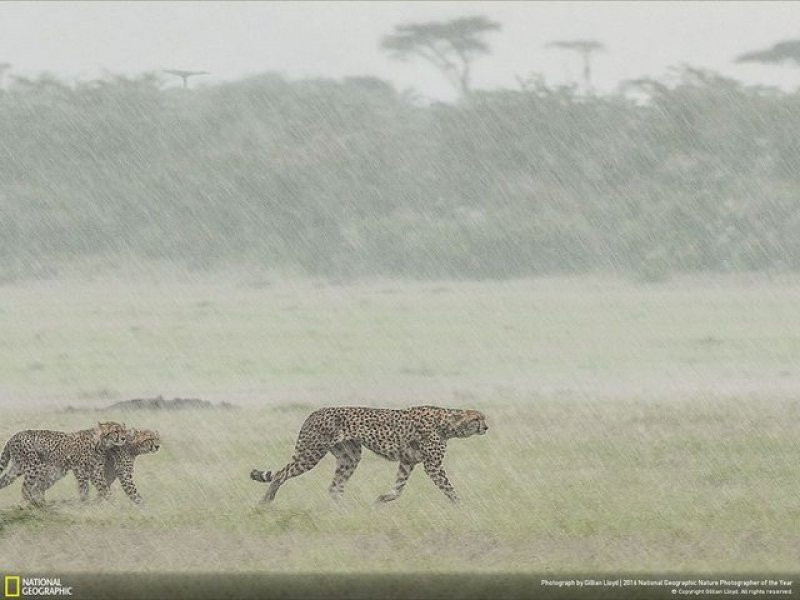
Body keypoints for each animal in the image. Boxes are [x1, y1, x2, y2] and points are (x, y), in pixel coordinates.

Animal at [0, 422, 130, 506]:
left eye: (124, 431)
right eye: (115, 431)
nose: (124, 438)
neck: (101, 443)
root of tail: (14, 436)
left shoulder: (95, 472)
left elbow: (104, 488)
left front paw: (111, 503)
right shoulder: (80, 470)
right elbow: (84, 489)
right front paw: (84, 504)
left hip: (17, 468)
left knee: (4, 481)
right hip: (33, 466)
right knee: (25, 488)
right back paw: (32, 506)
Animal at [250, 406, 488, 504]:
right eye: (477, 418)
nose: (486, 427)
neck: (447, 423)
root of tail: (314, 412)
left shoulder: (407, 461)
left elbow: (399, 487)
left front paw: (383, 499)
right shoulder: (433, 465)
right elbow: (449, 487)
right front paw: (461, 506)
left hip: (350, 457)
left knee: (335, 486)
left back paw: (345, 510)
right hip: (310, 453)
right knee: (280, 474)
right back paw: (265, 501)